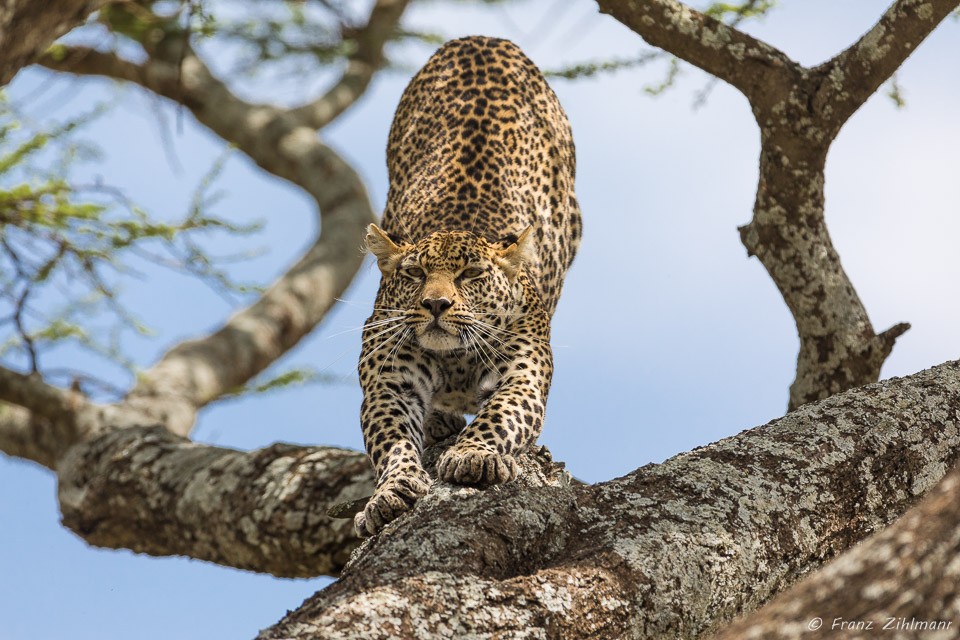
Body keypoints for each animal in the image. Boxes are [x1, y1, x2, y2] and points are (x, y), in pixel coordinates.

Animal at [352, 33, 576, 536]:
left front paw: (473, 456)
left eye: (471, 275)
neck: (453, 361)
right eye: (414, 274)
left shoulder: (522, 375)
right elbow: (391, 439)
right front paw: (391, 490)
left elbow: (498, 415)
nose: (436, 304)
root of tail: (480, 38)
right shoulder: (389, 382)